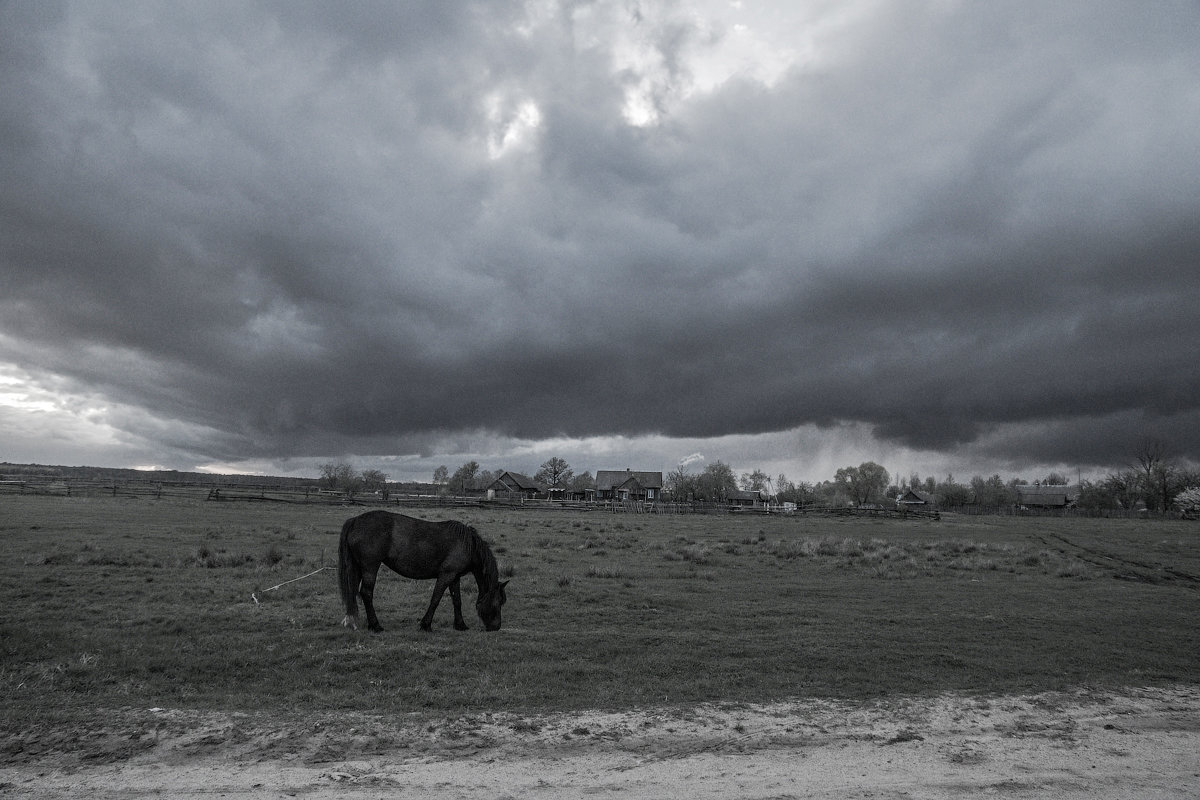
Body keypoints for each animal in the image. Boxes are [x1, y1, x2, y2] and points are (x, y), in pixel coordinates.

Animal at [336, 513, 508, 633]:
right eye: (499, 602)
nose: (496, 627)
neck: (468, 545)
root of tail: (355, 520)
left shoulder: (454, 577)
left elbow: (457, 601)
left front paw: (460, 625)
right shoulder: (446, 575)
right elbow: (435, 599)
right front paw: (426, 625)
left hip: (358, 568)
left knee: (353, 592)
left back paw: (352, 622)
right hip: (370, 567)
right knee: (366, 593)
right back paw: (376, 625)